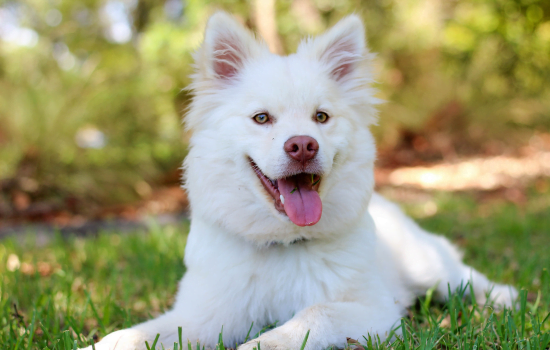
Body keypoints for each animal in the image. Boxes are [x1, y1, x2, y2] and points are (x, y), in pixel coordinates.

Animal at [85, 12, 516, 350]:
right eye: (261, 118)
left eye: (321, 117)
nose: (303, 146)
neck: (282, 244)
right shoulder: (202, 315)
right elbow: (139, 334)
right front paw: (104, 343)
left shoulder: (375, 311)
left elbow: (311, 316)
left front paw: (261, 344)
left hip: (427, 266)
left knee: (464, 278)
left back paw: (505, 298)